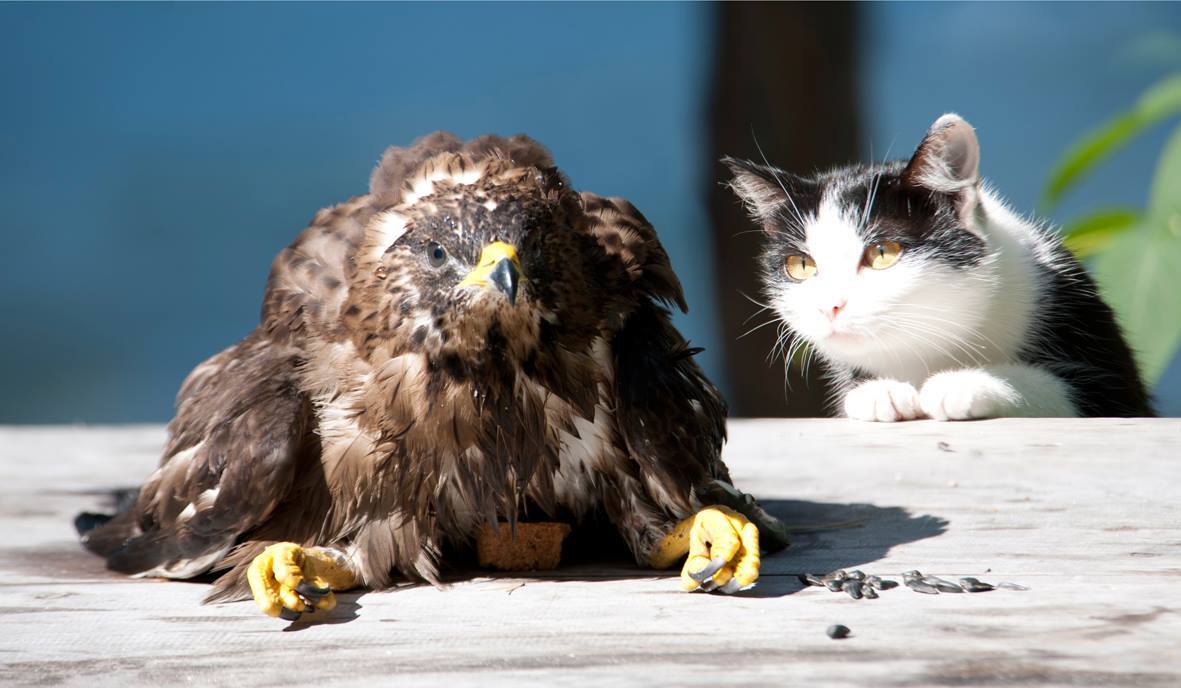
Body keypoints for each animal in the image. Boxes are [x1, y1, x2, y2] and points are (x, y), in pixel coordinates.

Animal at [718, 113, 1152, 420]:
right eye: (801, 265)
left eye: (882, 253)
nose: (830, 307)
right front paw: (878, 391)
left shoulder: (1107, 371)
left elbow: (1068, 389)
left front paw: (965, 383)